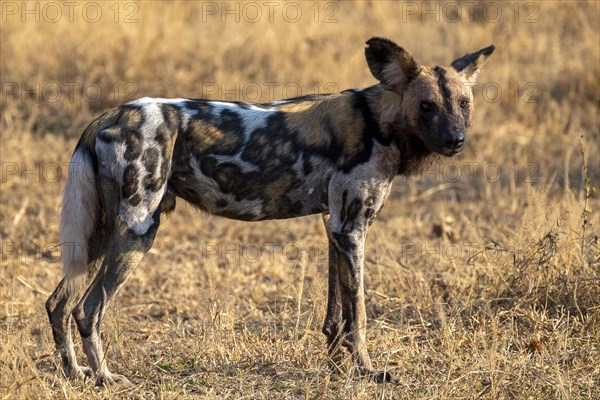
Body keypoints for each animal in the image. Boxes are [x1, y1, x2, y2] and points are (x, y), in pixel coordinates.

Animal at [47, 37, 494, 384]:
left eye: (464, 103)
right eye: (426, 106)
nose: (456, 140)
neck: (380, 121)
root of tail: (107, 115)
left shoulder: (335, 227)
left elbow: (336, 315)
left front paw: (337, 367)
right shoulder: (352, 229)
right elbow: (360, 314)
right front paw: (368, 371)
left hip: (101, 236)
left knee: (59, 304)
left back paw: (75, 374)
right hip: (137, 231)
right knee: (88, 310)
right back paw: (105, 377)